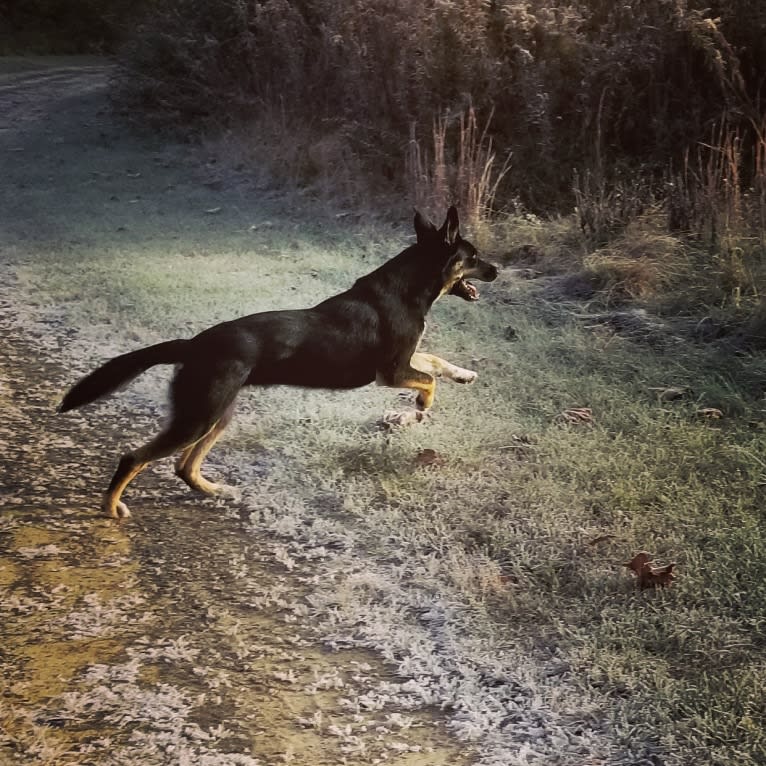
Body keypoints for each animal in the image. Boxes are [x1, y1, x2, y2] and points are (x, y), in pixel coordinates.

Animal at [61, 208, 504, 520]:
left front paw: (464, 374)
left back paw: (214, 490)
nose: (499, 270)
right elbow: (428, 379)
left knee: (183, 468)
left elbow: (435, 361)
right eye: (473, 257)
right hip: (198, 417)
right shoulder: (391, 372)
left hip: (215, 414)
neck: (409, 285)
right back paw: (110, 508)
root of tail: (193, 345)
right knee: (133, 459)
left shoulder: (404, 359)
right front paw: (421, 407)